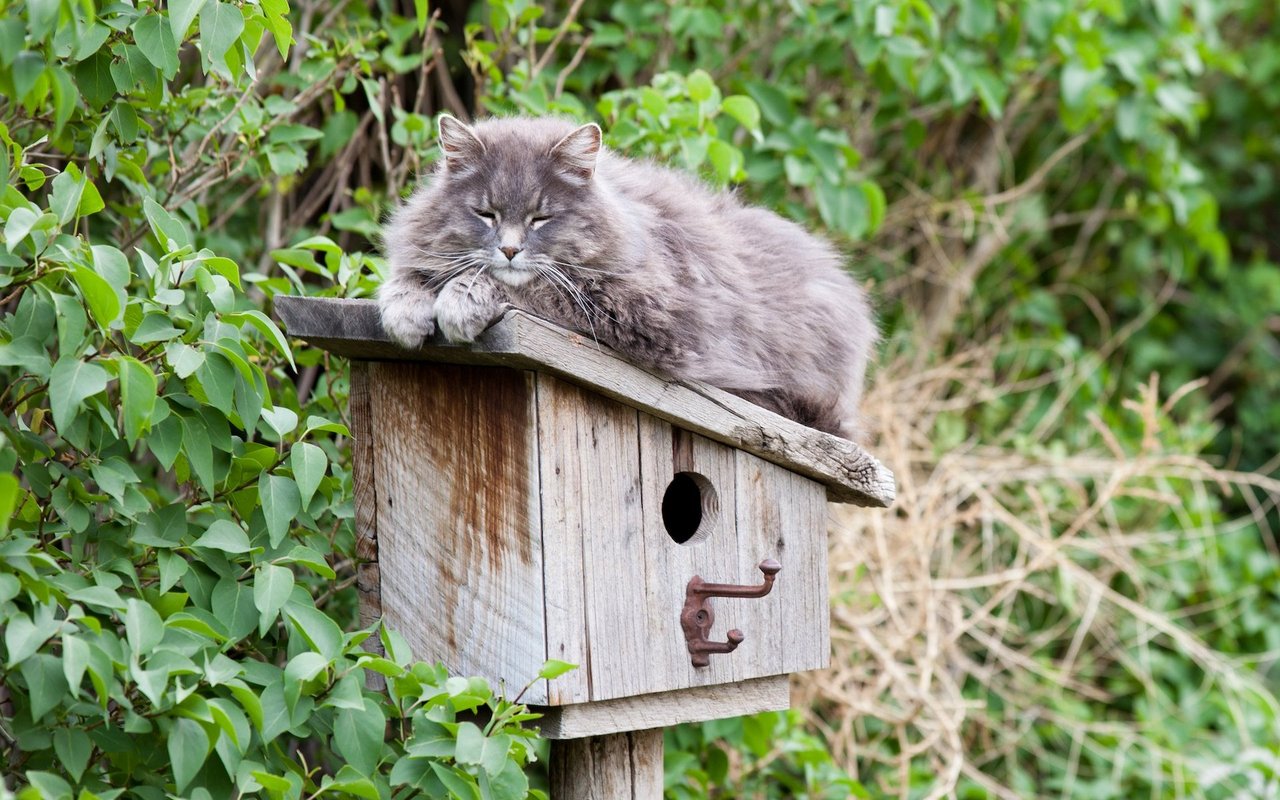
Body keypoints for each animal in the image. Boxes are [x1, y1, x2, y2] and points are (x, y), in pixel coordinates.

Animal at [376, 113, 880, 437]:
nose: (510, 250)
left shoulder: (648, 313)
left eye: (542, 218)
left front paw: (458, 304)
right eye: (486, 214)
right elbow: (408, 276)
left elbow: (527, 286)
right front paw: (405, 312)